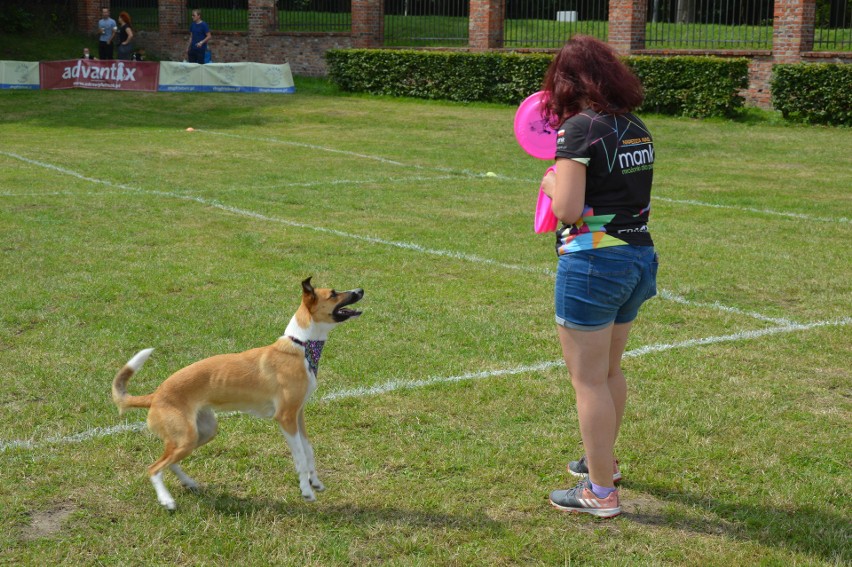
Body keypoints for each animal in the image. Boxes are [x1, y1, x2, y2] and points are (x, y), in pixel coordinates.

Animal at [110, 278, 362, 512]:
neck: (301, 346)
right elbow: (299, 457)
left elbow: (309, 451)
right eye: (333, 293)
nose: (360, 290)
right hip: (187, 437)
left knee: (168, 462)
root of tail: (155, 395)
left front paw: (315, 481)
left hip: (202, 432)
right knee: (154, 468)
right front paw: (306, 491)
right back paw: (166, 499)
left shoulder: (298, 414)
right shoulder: (286, 418)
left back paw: (189, 483)